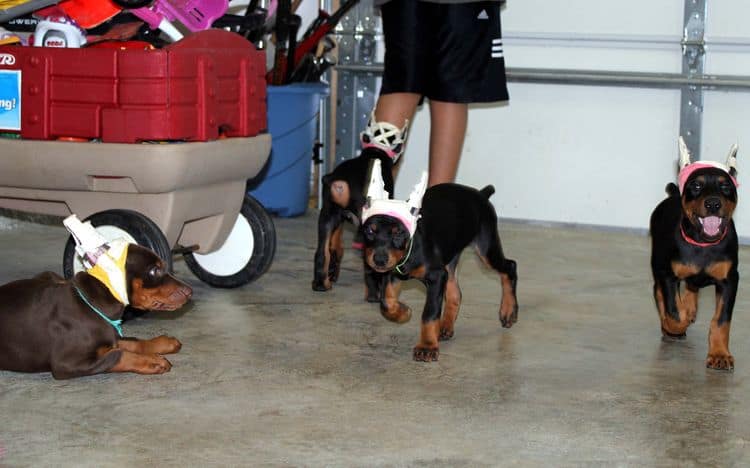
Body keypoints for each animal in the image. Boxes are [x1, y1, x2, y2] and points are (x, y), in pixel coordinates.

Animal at [0, 214, 192, 378]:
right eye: (154, 270)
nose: (190, 292)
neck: (91, 304)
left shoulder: (110, 336)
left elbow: (130, 342)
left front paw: (162, 343)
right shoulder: (66, 364)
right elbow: (118, 354)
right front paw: (153, 360)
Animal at [362, 161, 520, 362]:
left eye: (398, 233)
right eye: (370, 231)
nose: (379, 260)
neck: (410, 249)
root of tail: (480, 194)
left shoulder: (436, 276)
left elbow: (429, 313)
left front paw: (427, 346)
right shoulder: (393, 273)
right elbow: (386, 302)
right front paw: (403, 313)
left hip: (486, 248)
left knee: (510, 266)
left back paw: (508, 311)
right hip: (450, 261)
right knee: (455, 293)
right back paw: (445, 327)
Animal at [652, 137, 740, 372]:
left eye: (725, 186)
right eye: (696, 185)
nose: (713, 204)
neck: (702, 243)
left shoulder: (730, 280)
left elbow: (721, 320)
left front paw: (720, 355)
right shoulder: (668, 275)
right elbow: (674, 312)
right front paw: (674, 325)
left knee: (692, 286)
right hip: (658, 264)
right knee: (659, 293)